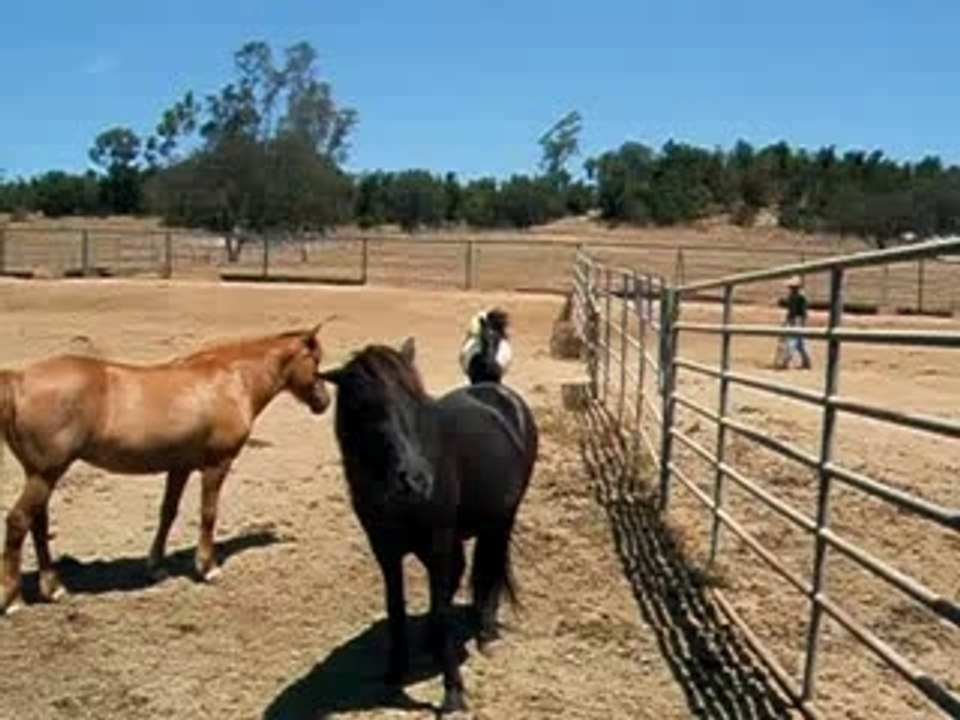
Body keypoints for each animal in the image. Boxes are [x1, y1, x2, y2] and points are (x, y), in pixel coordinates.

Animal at [0, 320, 336, 615]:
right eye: (316, 360)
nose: (324, 402)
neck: (232, 380)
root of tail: (19, 379)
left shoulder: (180, 466)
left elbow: (168, 513)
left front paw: (156, 568)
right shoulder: (217, 464)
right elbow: (208, 514)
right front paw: (207, 568)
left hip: (42, 474)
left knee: (37, 523)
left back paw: (53, 588)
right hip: (45, 473)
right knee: (18, 521)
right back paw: (14, 600)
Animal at [318, 337, 538, 713]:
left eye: (415, 401)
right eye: (365, 409)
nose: (418, 481)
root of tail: (498, 393)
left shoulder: (437, 543)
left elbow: (442, 609)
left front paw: (453, 694)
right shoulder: (386, 550)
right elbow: (396, 608)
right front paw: (394, 674)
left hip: (501, 518)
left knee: (490, 565)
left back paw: (485, 631)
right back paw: (434, 641)